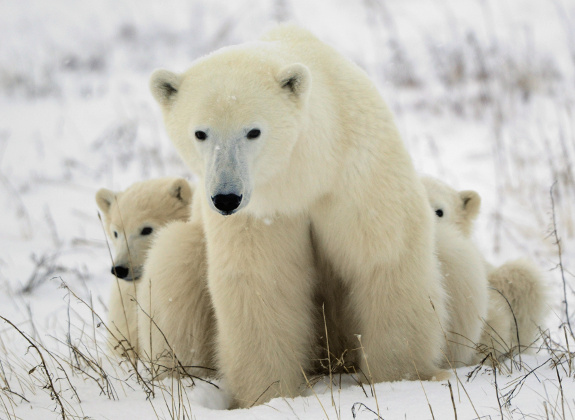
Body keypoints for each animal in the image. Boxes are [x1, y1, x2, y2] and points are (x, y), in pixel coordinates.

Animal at [148, 25, 446, 406]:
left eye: (253, 131)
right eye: (200, 132)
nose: (226, 198)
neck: (304, 176)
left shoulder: (353, 174)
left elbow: (383, 258)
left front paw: (397, 378)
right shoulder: (262, 213)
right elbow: (263, 283)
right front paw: (269, 394)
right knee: (174, 261)